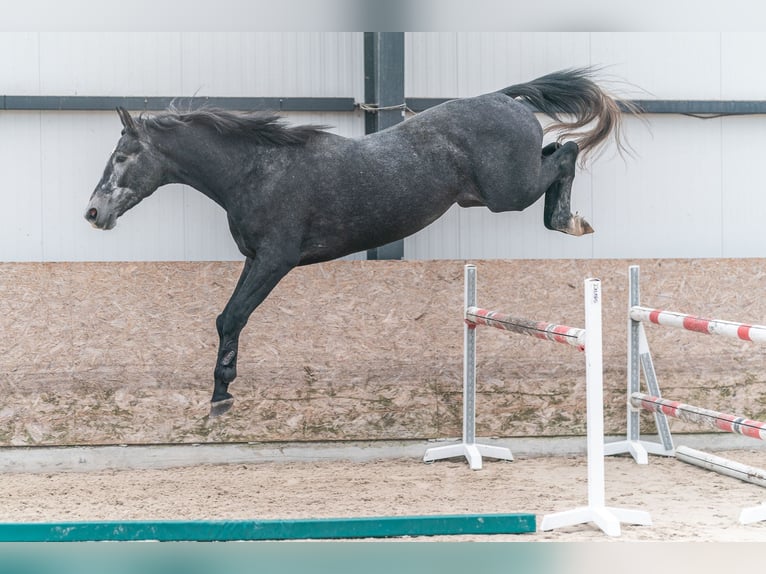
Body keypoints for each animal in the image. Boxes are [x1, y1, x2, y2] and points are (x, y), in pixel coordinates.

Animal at [85, 68, 636, 418]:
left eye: (122, 156)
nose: (93, 213)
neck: (256, 170)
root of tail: (504, 97)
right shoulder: (255, 259)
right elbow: (227, 317)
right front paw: (221, 392)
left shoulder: (275, 260)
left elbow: (233, 315)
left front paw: (220, 398)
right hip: (495, 194)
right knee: (558, 150)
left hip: (507, 193)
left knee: (566, 152)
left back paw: (571, 221)